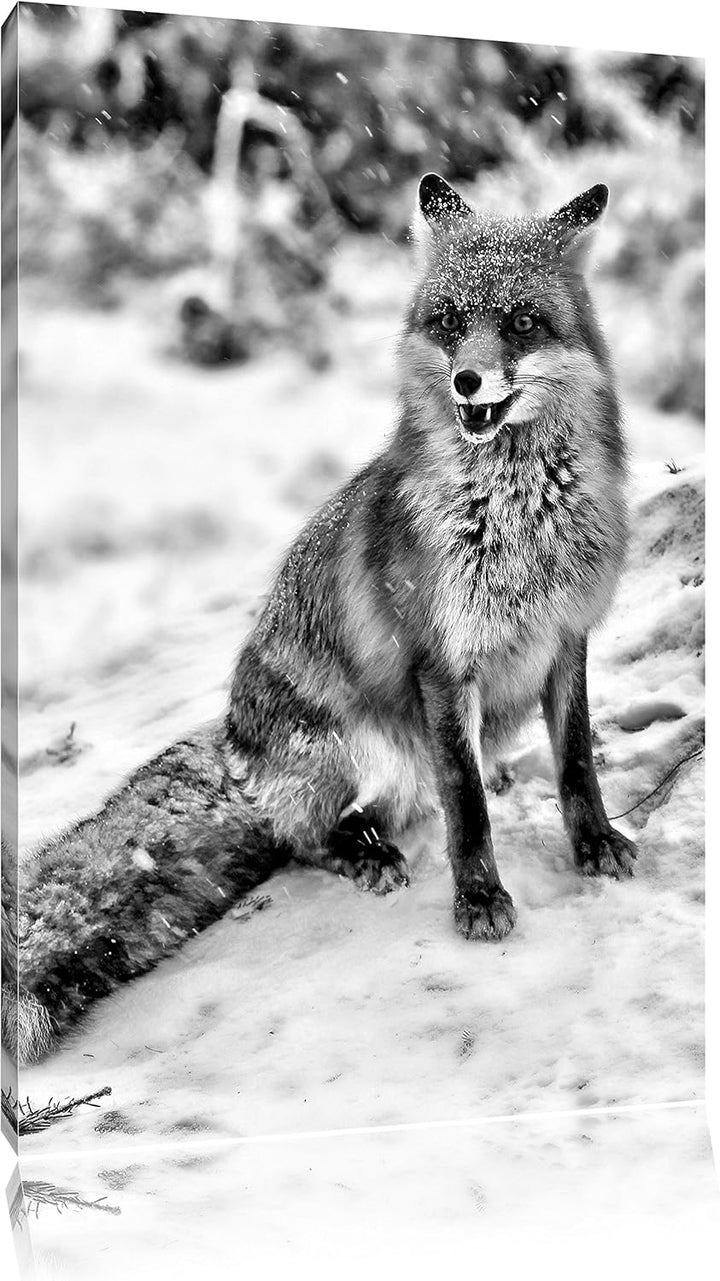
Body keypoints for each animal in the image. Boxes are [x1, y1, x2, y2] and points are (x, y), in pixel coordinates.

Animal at [2, 173, 637, 1065]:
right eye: (448, 322)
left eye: (519, 323)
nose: (467, 383)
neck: (516, 520)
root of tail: (232, 745)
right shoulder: (441, 662)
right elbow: (468, 806)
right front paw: (478, 898)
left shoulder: (565, 637)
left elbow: (577, 763)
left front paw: (594, 844)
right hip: (357, 745)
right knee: (303, 834)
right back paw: (360, 852)